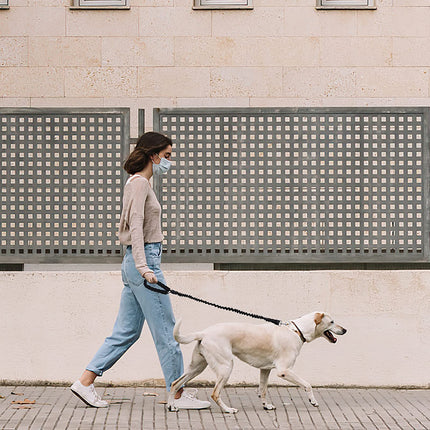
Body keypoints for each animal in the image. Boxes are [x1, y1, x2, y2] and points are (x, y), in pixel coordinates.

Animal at [167, 310, 346, 414]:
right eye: (332, 322)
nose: (345, 330)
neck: (297, 331)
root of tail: (203, 333)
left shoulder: (265, 370)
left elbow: (263, 390)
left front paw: (266, 406)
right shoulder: (284, 371)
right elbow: (307, 385)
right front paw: (313, 401)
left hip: (197, 368)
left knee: (175, 383)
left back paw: (172, 406)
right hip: (226, 368)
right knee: (215, 393)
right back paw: (228, 410)